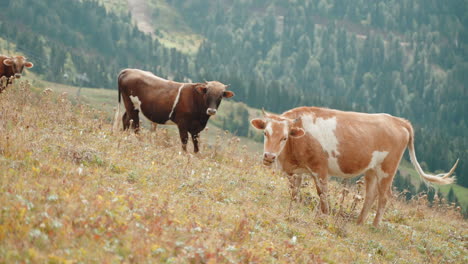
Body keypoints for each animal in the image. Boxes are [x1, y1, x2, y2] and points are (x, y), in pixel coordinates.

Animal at [250, 107, 458, 227]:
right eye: (266, 133)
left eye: (284, 137)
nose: (269, 156)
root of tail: (398, 121)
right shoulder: (296, 171)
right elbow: (294, 191)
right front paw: (294, 205)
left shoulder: (320, 168)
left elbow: (323, 194)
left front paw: (325, 215)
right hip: (371, 170)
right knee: (370, 195)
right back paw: (359, 222)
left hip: (387, 169)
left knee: (384, 196)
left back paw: (374, 226)